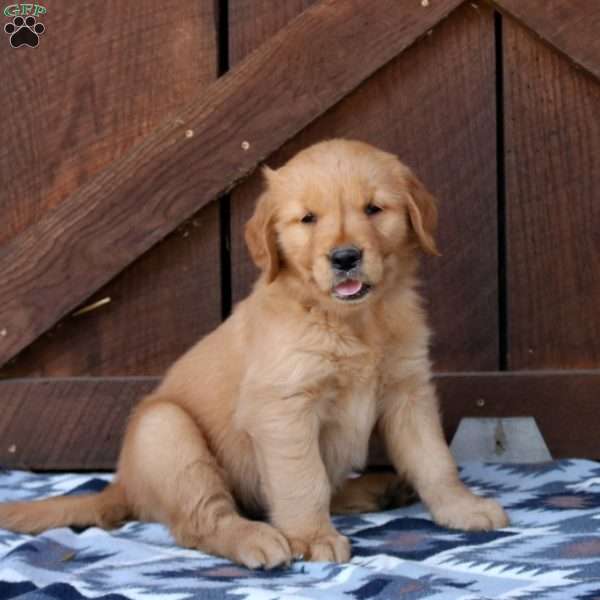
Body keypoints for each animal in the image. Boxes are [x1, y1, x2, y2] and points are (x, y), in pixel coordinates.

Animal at [0, 139, 506, 568]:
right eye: (308, 219)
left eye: (373, 209)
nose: (344, 257)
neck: (352, 321)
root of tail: (123, 486)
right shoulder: (283, 409)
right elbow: (302, 480)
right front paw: (312, 536)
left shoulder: (407, 391)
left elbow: (434, 459)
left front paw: (462, 507)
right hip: (165, 430)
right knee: (203, 521)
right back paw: (257, 539)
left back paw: (379, 490)